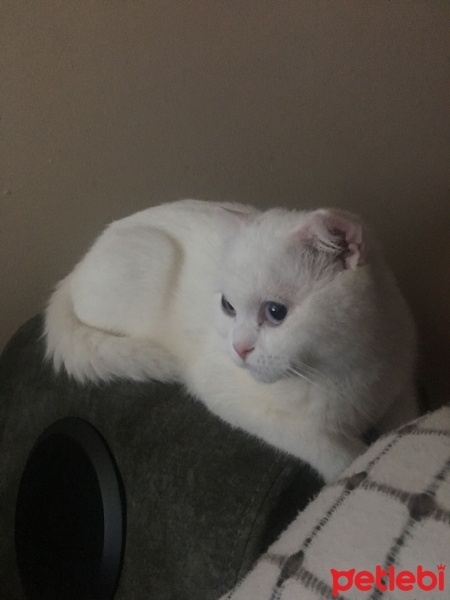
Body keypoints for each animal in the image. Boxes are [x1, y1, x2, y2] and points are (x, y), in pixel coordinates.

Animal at [44, 202, 418, 482]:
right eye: (228, 306)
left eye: (275, 312)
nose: (239, 349)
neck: (345, 369)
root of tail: (73, 271)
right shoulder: (230, 398)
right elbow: (333, 449)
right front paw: (357, 464)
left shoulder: (401, 388)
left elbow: (405, 423)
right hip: (154, 260)